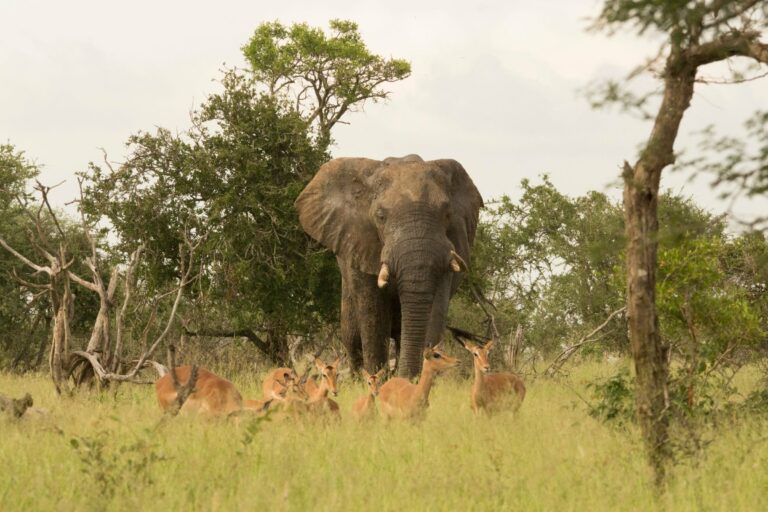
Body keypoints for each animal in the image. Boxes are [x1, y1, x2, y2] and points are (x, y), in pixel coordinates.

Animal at [294, 155, 483, 378]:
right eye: (380, 216)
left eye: (447, 214)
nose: (409, 376)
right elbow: (373, 315)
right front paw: (378, 379)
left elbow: (436, 309)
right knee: (352, 337)